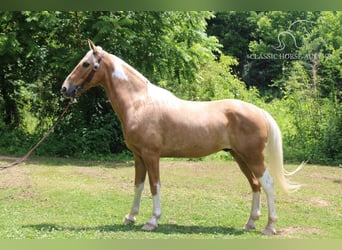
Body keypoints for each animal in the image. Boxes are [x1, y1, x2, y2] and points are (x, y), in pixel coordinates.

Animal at [60, 40, 302, 235]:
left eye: (85, 64)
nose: (65, 88)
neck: (140, 102)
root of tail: (259, 111)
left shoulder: (151, 155)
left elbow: (154, 185)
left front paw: (152, 220)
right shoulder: (138, 156)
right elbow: (138, 185)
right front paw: (130, 217)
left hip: (253, 157)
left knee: (268, 184)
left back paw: (269, 226)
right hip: (239, 157)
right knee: (255, 184)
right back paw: (250, 223)